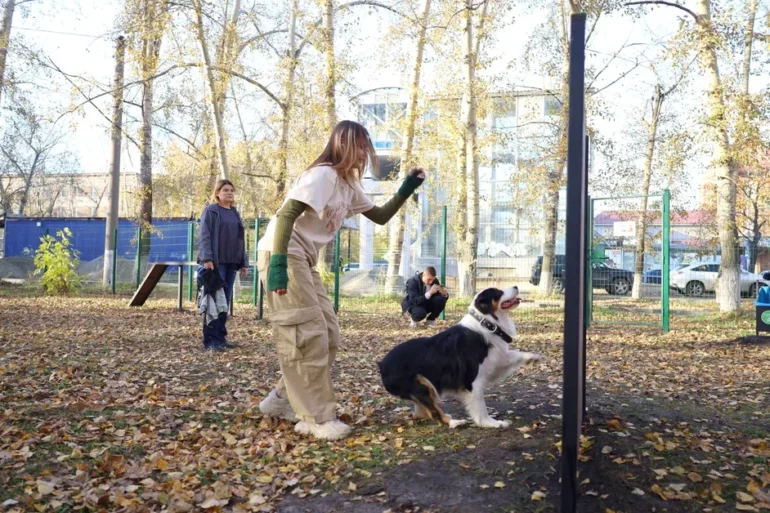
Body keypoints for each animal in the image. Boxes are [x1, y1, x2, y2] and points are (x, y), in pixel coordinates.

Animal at [376, 286, 536, 426]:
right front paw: (490, 423)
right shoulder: (473, 381)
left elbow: (512, 354)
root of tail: (381, 364)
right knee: (434, 413)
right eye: (498, 292)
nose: (516, 286)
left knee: (421, 412)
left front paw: (532, 357)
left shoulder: (495, 361)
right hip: (421, 386)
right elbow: (481, 407)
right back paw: (454, 422)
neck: (486, 323)